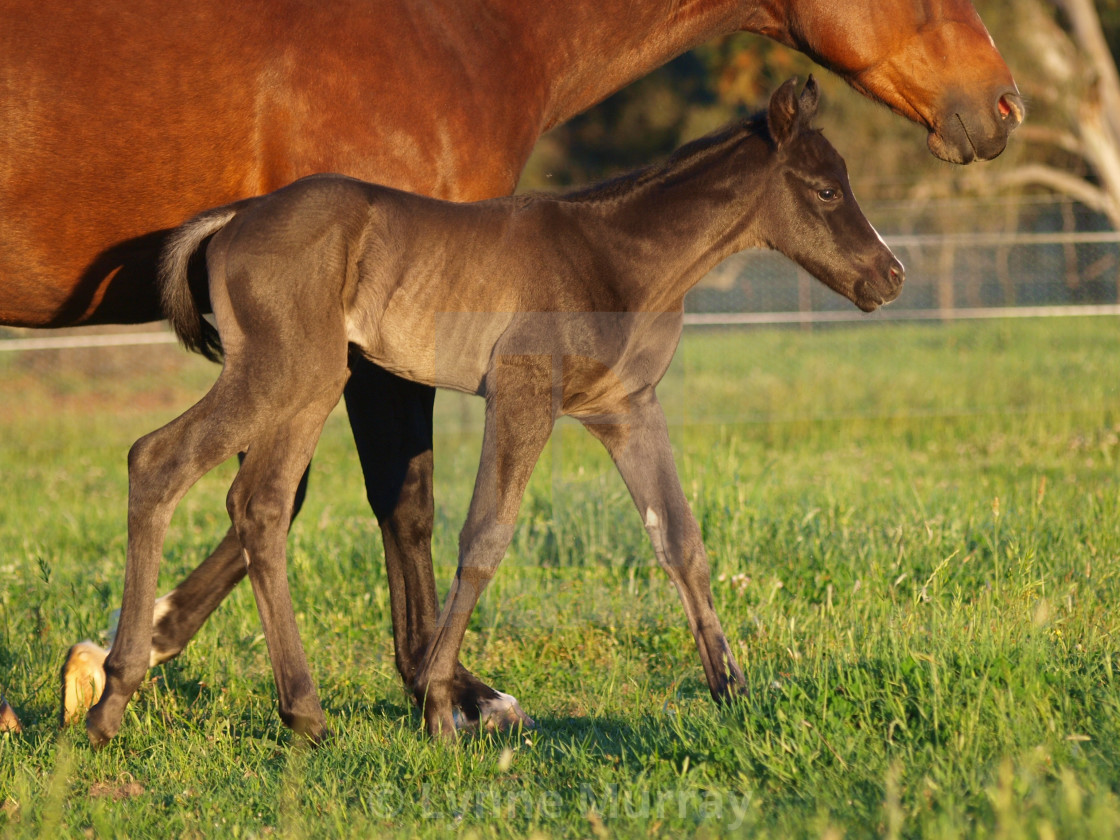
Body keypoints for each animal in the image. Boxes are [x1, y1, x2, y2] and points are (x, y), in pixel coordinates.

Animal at [91, 78, 904, 748]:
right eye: (826, 192)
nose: (889, 276)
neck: (614, 254)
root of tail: (232, 218)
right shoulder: (523, 394)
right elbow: (485, 537)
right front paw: (439, 709)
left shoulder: (626, 409)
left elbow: (680, 540)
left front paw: (731, 690)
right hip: (284, 373)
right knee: (158, 460)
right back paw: (112, 701)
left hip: (312, 385)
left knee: (257, 504)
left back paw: (303, 715)